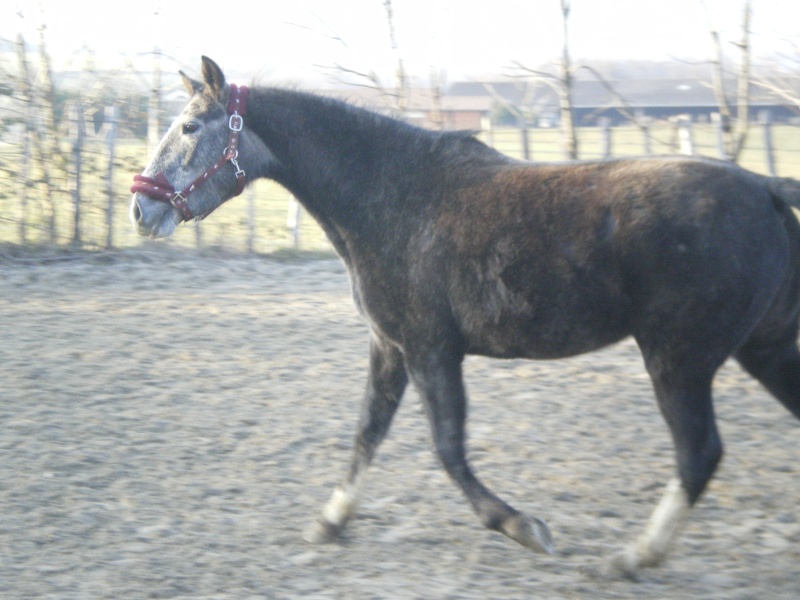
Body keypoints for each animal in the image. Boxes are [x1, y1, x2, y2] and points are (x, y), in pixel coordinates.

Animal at [130, 57, 800, 576]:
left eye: (189, 125)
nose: (140, 208)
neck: (388, 195)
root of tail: (764, 187)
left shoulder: (431, 350)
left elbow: (447, 449)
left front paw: (523, 526)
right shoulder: (390, 346)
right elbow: (367, 432)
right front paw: (330, 520)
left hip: (677, 361)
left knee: (698, 454)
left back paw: (632, 557)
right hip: (762, 349)